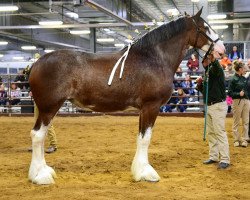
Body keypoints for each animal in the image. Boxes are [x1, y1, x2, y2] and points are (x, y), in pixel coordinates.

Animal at [28, 9, 226, 184]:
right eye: (205, 27)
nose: (222, 49)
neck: (154, 58)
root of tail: (36, 64)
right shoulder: (151, 106)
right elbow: (145, 139)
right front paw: (147, 174)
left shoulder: (143, 109)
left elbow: (140, 138)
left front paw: (138, 171)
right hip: (49, 107)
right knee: (37, 136)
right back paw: (40, 176)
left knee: (41, 137)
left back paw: (44, 172)